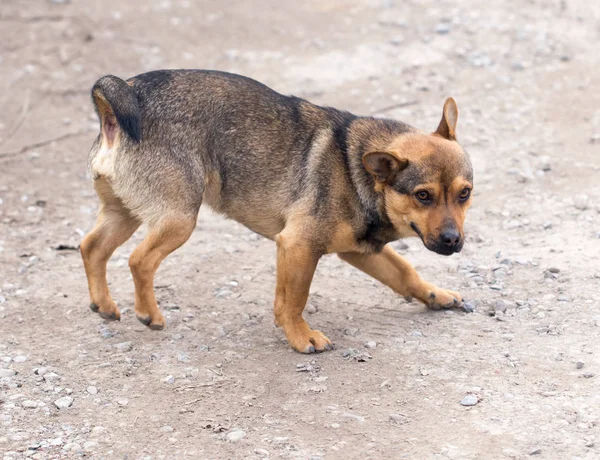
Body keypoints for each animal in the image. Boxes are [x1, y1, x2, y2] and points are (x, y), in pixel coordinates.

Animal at [81, 70, 474, 354]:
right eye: (423, 196)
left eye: (465, 194)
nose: (453, 241)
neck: (356, 167)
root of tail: (121, 102)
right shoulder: (298, 245)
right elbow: (294, 300)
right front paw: (301, 336)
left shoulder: (359, 250)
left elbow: (405, 273)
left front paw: (436, 295)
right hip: (179, 221)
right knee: (138, 260)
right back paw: (149, 314)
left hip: (124, 214)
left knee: (91, 248)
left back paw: (104, 305)